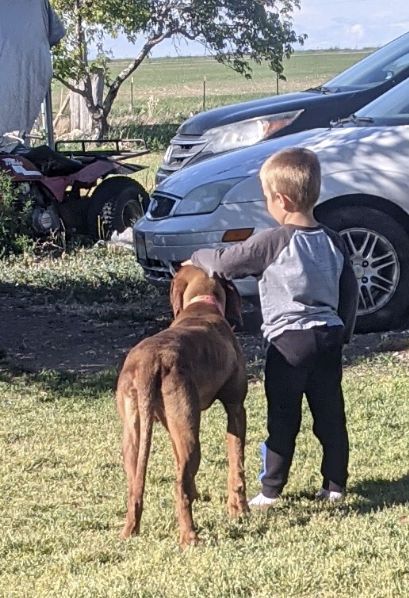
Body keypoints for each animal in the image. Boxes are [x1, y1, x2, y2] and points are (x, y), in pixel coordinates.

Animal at [116, 268, 247, 548]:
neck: (202, 304)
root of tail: (150, 362)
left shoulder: (173, 424)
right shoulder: (236, 409)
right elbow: (237, 464)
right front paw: (239, 509)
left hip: (134, 433)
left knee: (136, 483)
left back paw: (130, 529)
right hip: (191, 434)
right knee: (179, 487)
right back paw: (190, 537)